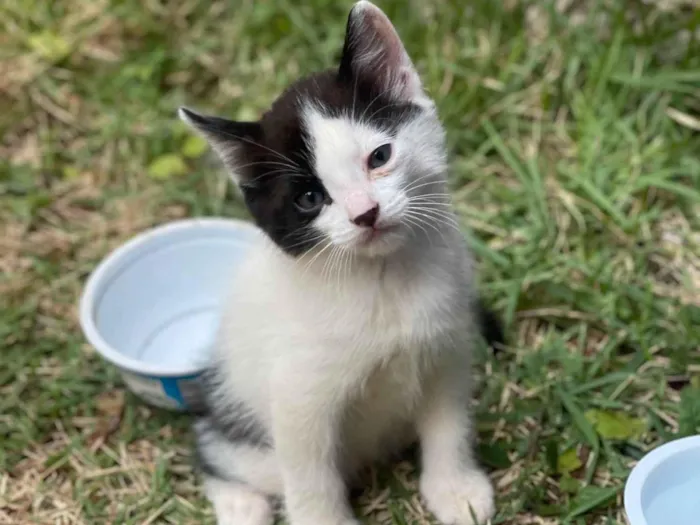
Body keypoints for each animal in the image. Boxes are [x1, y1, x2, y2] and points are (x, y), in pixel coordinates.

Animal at [180, 2, 498, 520]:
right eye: (310, 198)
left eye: (380, 156)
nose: (365, 213)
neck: (382, 280)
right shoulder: (297, 398)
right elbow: (311, 476)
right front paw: (322, 519)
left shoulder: (446, 351)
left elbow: (449, 425)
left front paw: (454, 490)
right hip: (240, 430)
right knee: (214, 453)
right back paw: (241, 506)